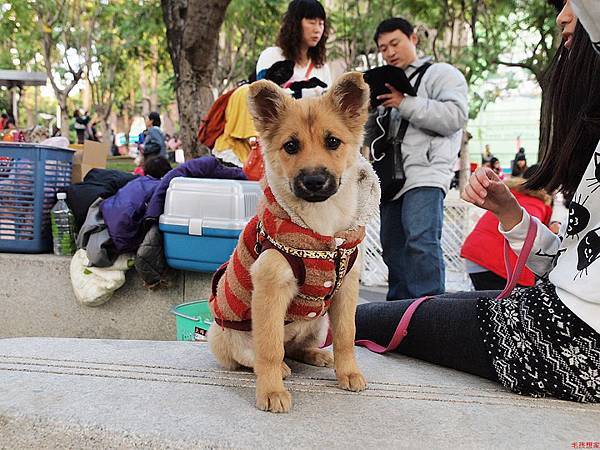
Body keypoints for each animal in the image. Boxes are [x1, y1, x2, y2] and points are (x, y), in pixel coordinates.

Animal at [207, 72, 380, 414]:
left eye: (332, 142)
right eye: (291, 146)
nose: (313, 181)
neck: (321, 227)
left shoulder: (346, 288)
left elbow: (346, 336)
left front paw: (348, 372)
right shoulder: (271, 289)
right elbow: (269, 349)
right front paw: (271, 390)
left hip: (318, 323)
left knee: (298, 347)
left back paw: (316, 355)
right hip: (226, 334)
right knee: (259, 354)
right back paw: (279, 369)